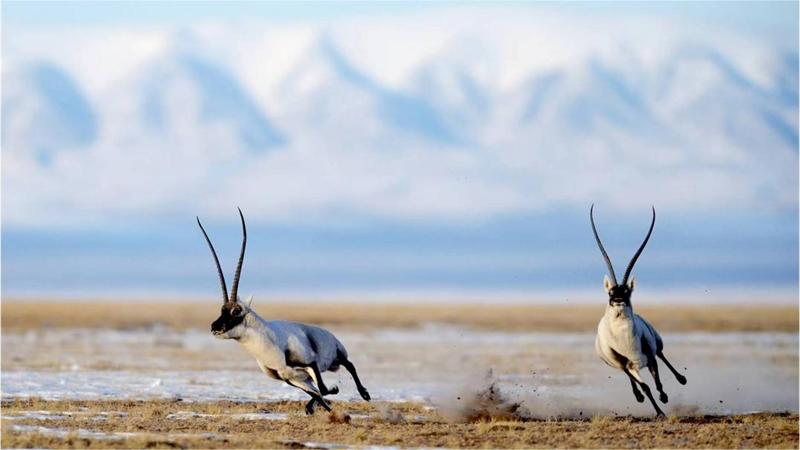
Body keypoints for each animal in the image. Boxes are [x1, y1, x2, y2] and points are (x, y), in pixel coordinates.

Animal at [197, 207, 372, 414]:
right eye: (222, 310)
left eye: (235, 312)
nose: (214, 327)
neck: (270, 341)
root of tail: (330, 334)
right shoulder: (290, 377)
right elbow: (317, 393)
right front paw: (321, 407)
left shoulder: (309, 363)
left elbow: (323, 389)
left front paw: (334, 393)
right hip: (311, 373)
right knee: (317, 391)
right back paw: (314, 408)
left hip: (337, 355)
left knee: (349, 365)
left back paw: (365, 394)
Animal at [588, 206, 688, 416]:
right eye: (611, 292)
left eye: (626, 291)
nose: (618, 300)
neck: (624, 339)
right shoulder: (626, 366)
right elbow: (646, 387)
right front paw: (659, 411)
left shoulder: (649, 356)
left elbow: (658, 381)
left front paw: (664, 398)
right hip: (626, 367)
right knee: (634, 381)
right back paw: (639, 397)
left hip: (656, 343)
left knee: (662, 355)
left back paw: (681, 379)